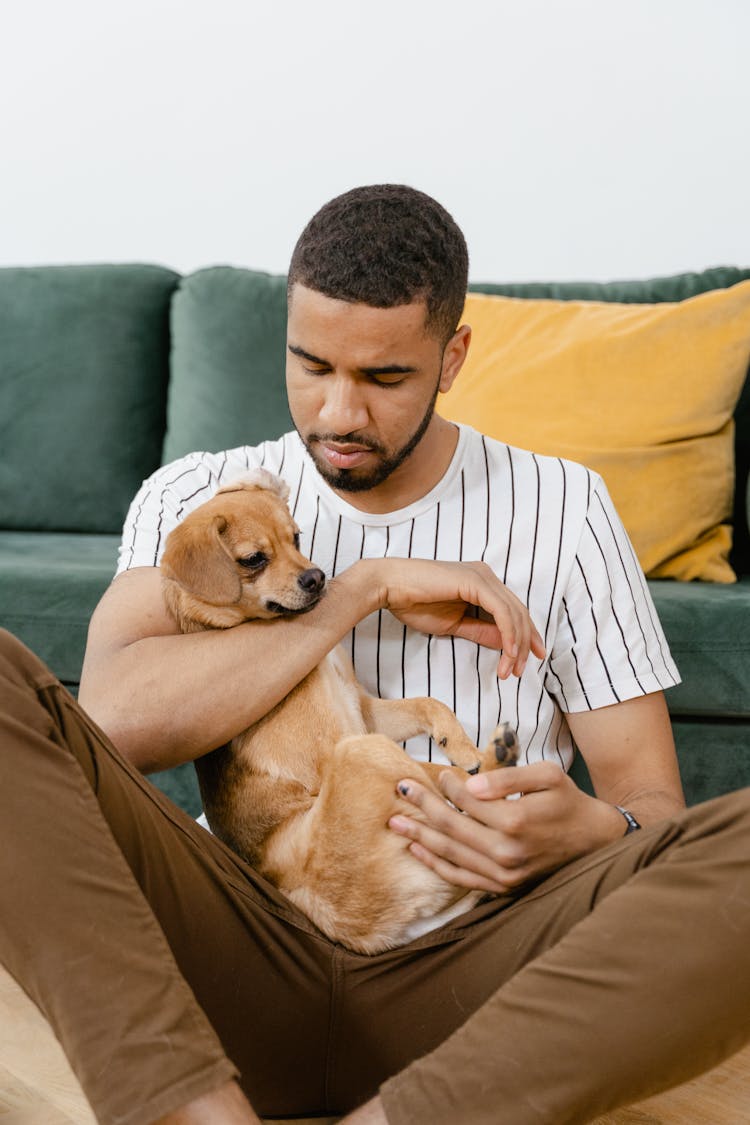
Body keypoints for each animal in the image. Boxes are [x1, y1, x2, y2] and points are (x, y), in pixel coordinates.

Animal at [161, 470, 519, 954]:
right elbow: (434, 769)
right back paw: (497, 767)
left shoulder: (364, 710)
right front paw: (467, 762)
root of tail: (360, 932)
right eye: (253, 559)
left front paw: (461, 745)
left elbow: (430, 704)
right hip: (361, 752)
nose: (315, 576)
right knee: (445, 792)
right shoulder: (341, 742)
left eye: (296, 537)